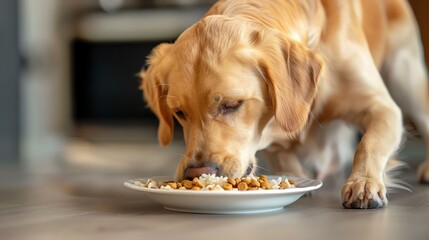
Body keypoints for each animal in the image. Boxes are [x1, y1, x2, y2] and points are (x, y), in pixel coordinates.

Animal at [140, 0, 428, 208]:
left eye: (232, 104)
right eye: (179, 112)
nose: (196, 173)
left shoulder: (382, 107)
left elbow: (369, 144)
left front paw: (363, 182)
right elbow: (281, 153)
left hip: (407, 78)